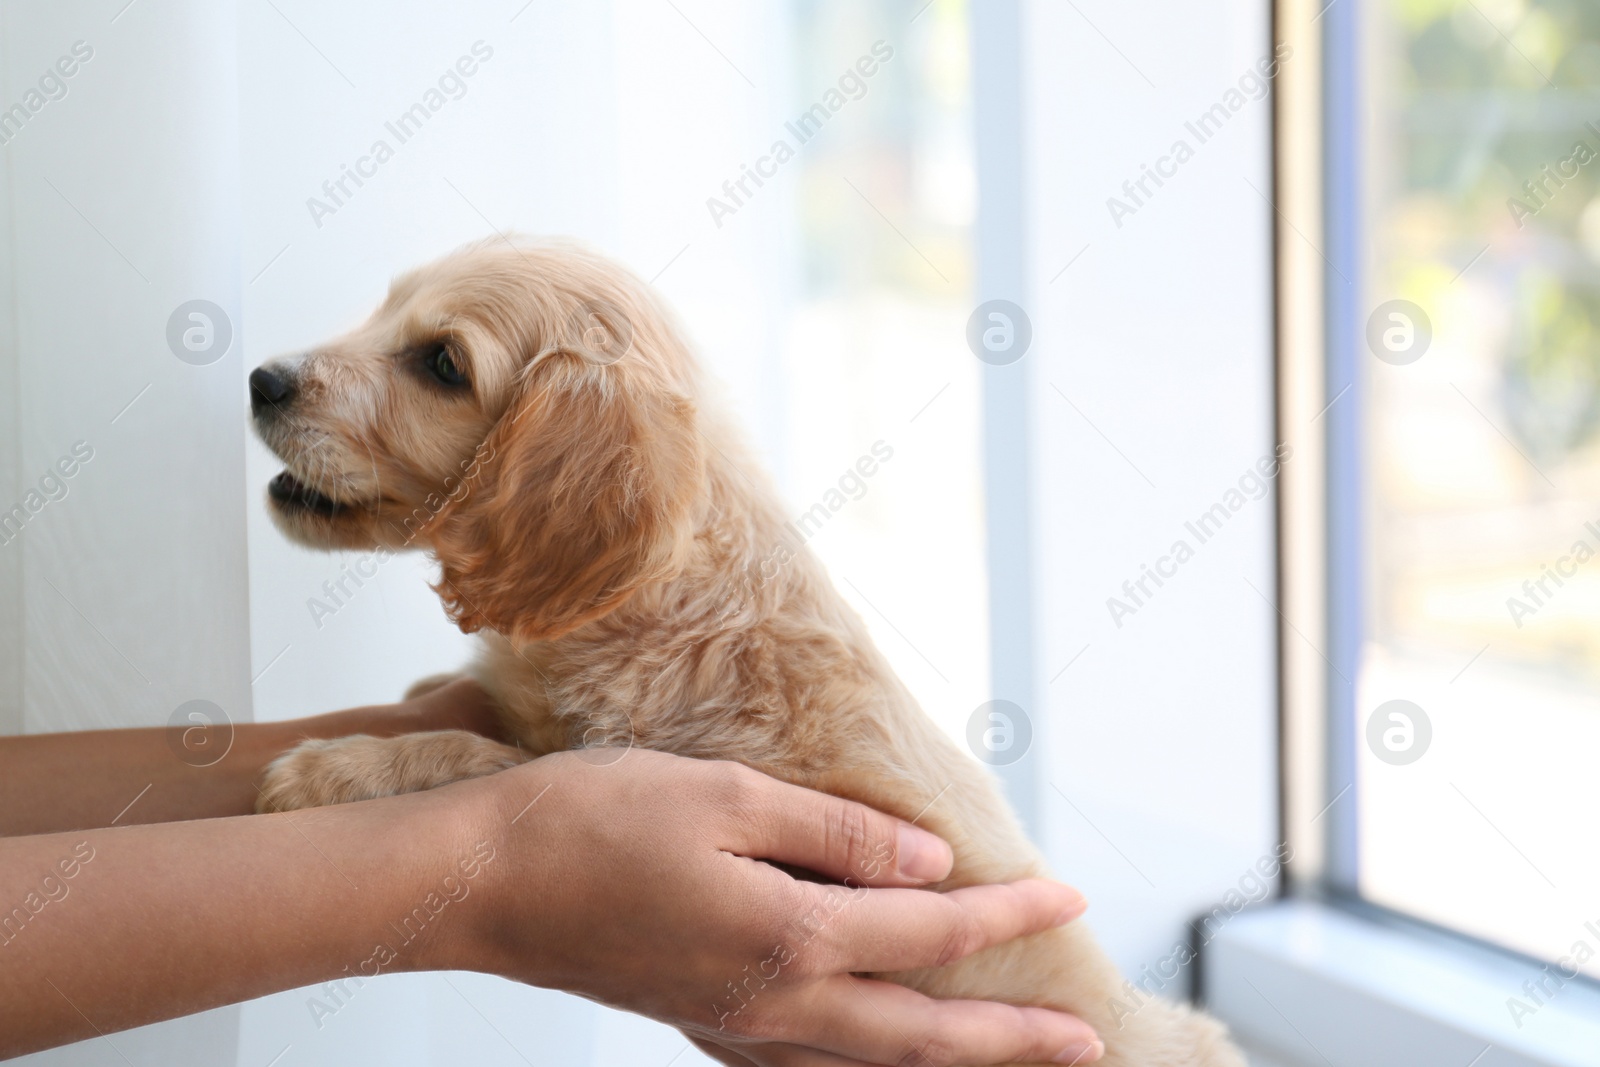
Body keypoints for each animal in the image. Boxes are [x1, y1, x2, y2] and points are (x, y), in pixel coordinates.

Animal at [252, 241, 1248, 1067]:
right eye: (386, 311)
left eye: (443, 364)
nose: (261, 377)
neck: (663, 596)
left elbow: (488, 760)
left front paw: (334, 769)